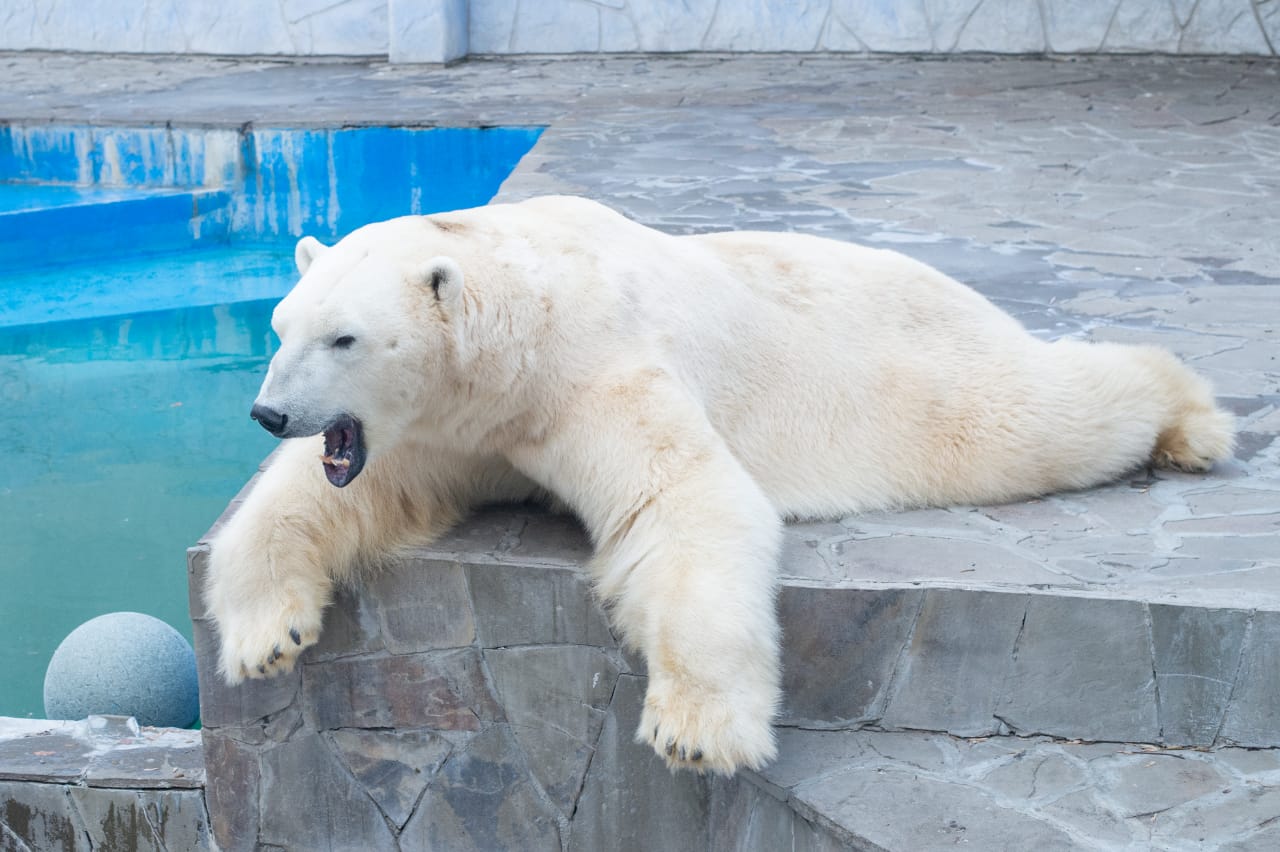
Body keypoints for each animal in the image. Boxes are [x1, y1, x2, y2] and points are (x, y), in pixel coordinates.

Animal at [204, 195, 1233, 772]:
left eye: (344, 336)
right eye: (282, 325)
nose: (268, 414)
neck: (519, 330)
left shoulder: (593, 370)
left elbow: (682, 501)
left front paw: (695, 731)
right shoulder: (459, 424)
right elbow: (342, 493)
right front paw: (265, 636)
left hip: (927, 379)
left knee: (1039, 417)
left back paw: (1193, 425)